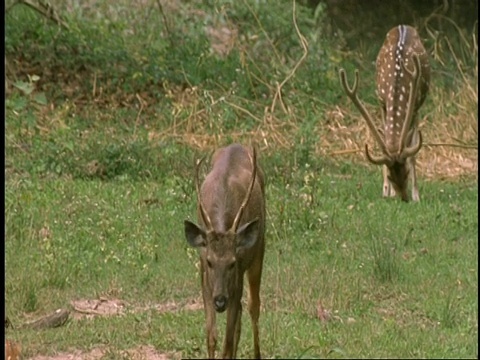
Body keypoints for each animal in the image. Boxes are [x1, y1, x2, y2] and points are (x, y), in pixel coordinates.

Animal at [184, 144, 266, 360]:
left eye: (232, 262)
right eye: (210, 261)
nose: (220, 301)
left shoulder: (238, 274)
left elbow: (227, 343)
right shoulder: (204, 275)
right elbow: (211, 336)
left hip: (260, 249)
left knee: (254, 306)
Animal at [338, 24, 432, 202]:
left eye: (406, 172)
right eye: (390, 176)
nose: (404, 198)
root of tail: (403, 25)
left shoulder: (415, 106)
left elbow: (413, 152)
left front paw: (416, 195)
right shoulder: (382, 102)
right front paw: (387, 191)